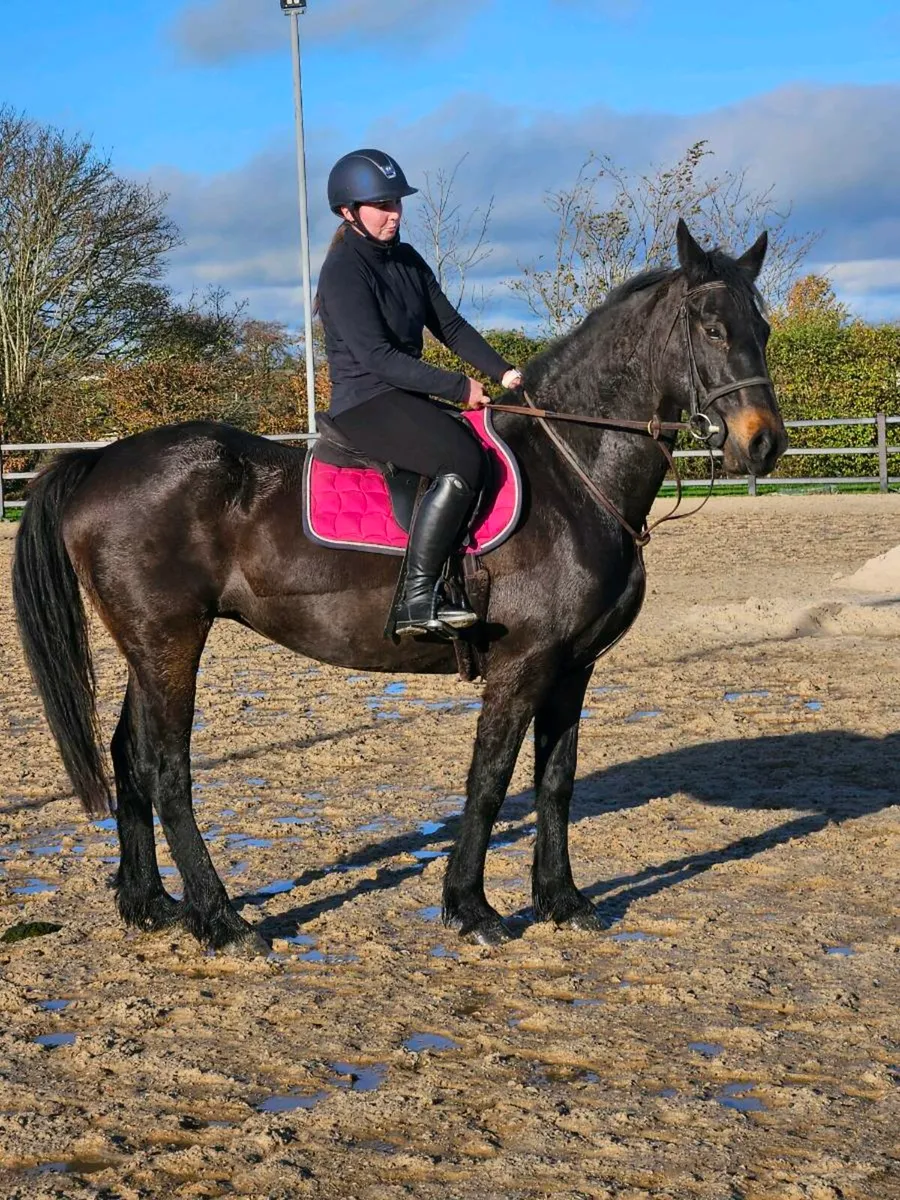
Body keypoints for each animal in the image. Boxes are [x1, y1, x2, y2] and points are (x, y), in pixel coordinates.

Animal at [12, 220, 787, 953]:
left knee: (128, 756)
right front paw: (472, 909)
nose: (764, 443)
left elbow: (555, 781)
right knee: (166, 769)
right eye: (712, 329)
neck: (573, 471)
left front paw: (563, 902)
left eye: (765, 330)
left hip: (150, 646)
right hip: (170, 640)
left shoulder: (574, 667)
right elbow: (489, 779)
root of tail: (100, 461)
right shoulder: (523, 665)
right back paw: (222, 920)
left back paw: (151, 905)